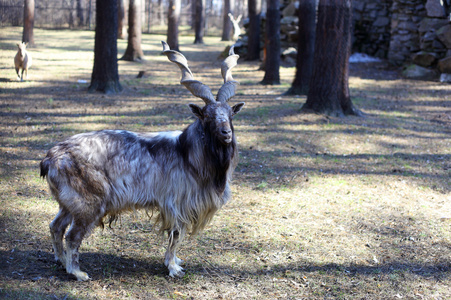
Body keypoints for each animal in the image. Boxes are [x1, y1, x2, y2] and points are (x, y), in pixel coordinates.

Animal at [39, 41, 245, 280]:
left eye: (230, 114)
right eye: (207, 115)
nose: (226, 133)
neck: (188, 154)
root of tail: (51, 158)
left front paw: (176, 261)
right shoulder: (175, 204)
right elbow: (176, 235)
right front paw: (173, 267)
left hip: (68, 203)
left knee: (56, 226)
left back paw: (61, 260)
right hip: (88, 204)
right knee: (72, 236)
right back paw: (77, 272)